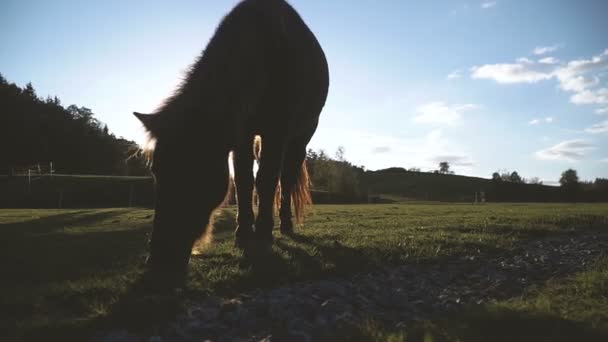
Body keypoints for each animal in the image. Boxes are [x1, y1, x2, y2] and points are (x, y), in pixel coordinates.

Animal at [136, 0, 330, 288]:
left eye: (195, 171)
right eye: (155, 171)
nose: (159, 262)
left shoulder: (278, 129)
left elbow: (267, 180)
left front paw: (263, 233)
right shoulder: (242, 132)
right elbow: (243, 180)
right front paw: (243, 232)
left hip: (300, 136)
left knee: (286, 178)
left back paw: (284, 224)